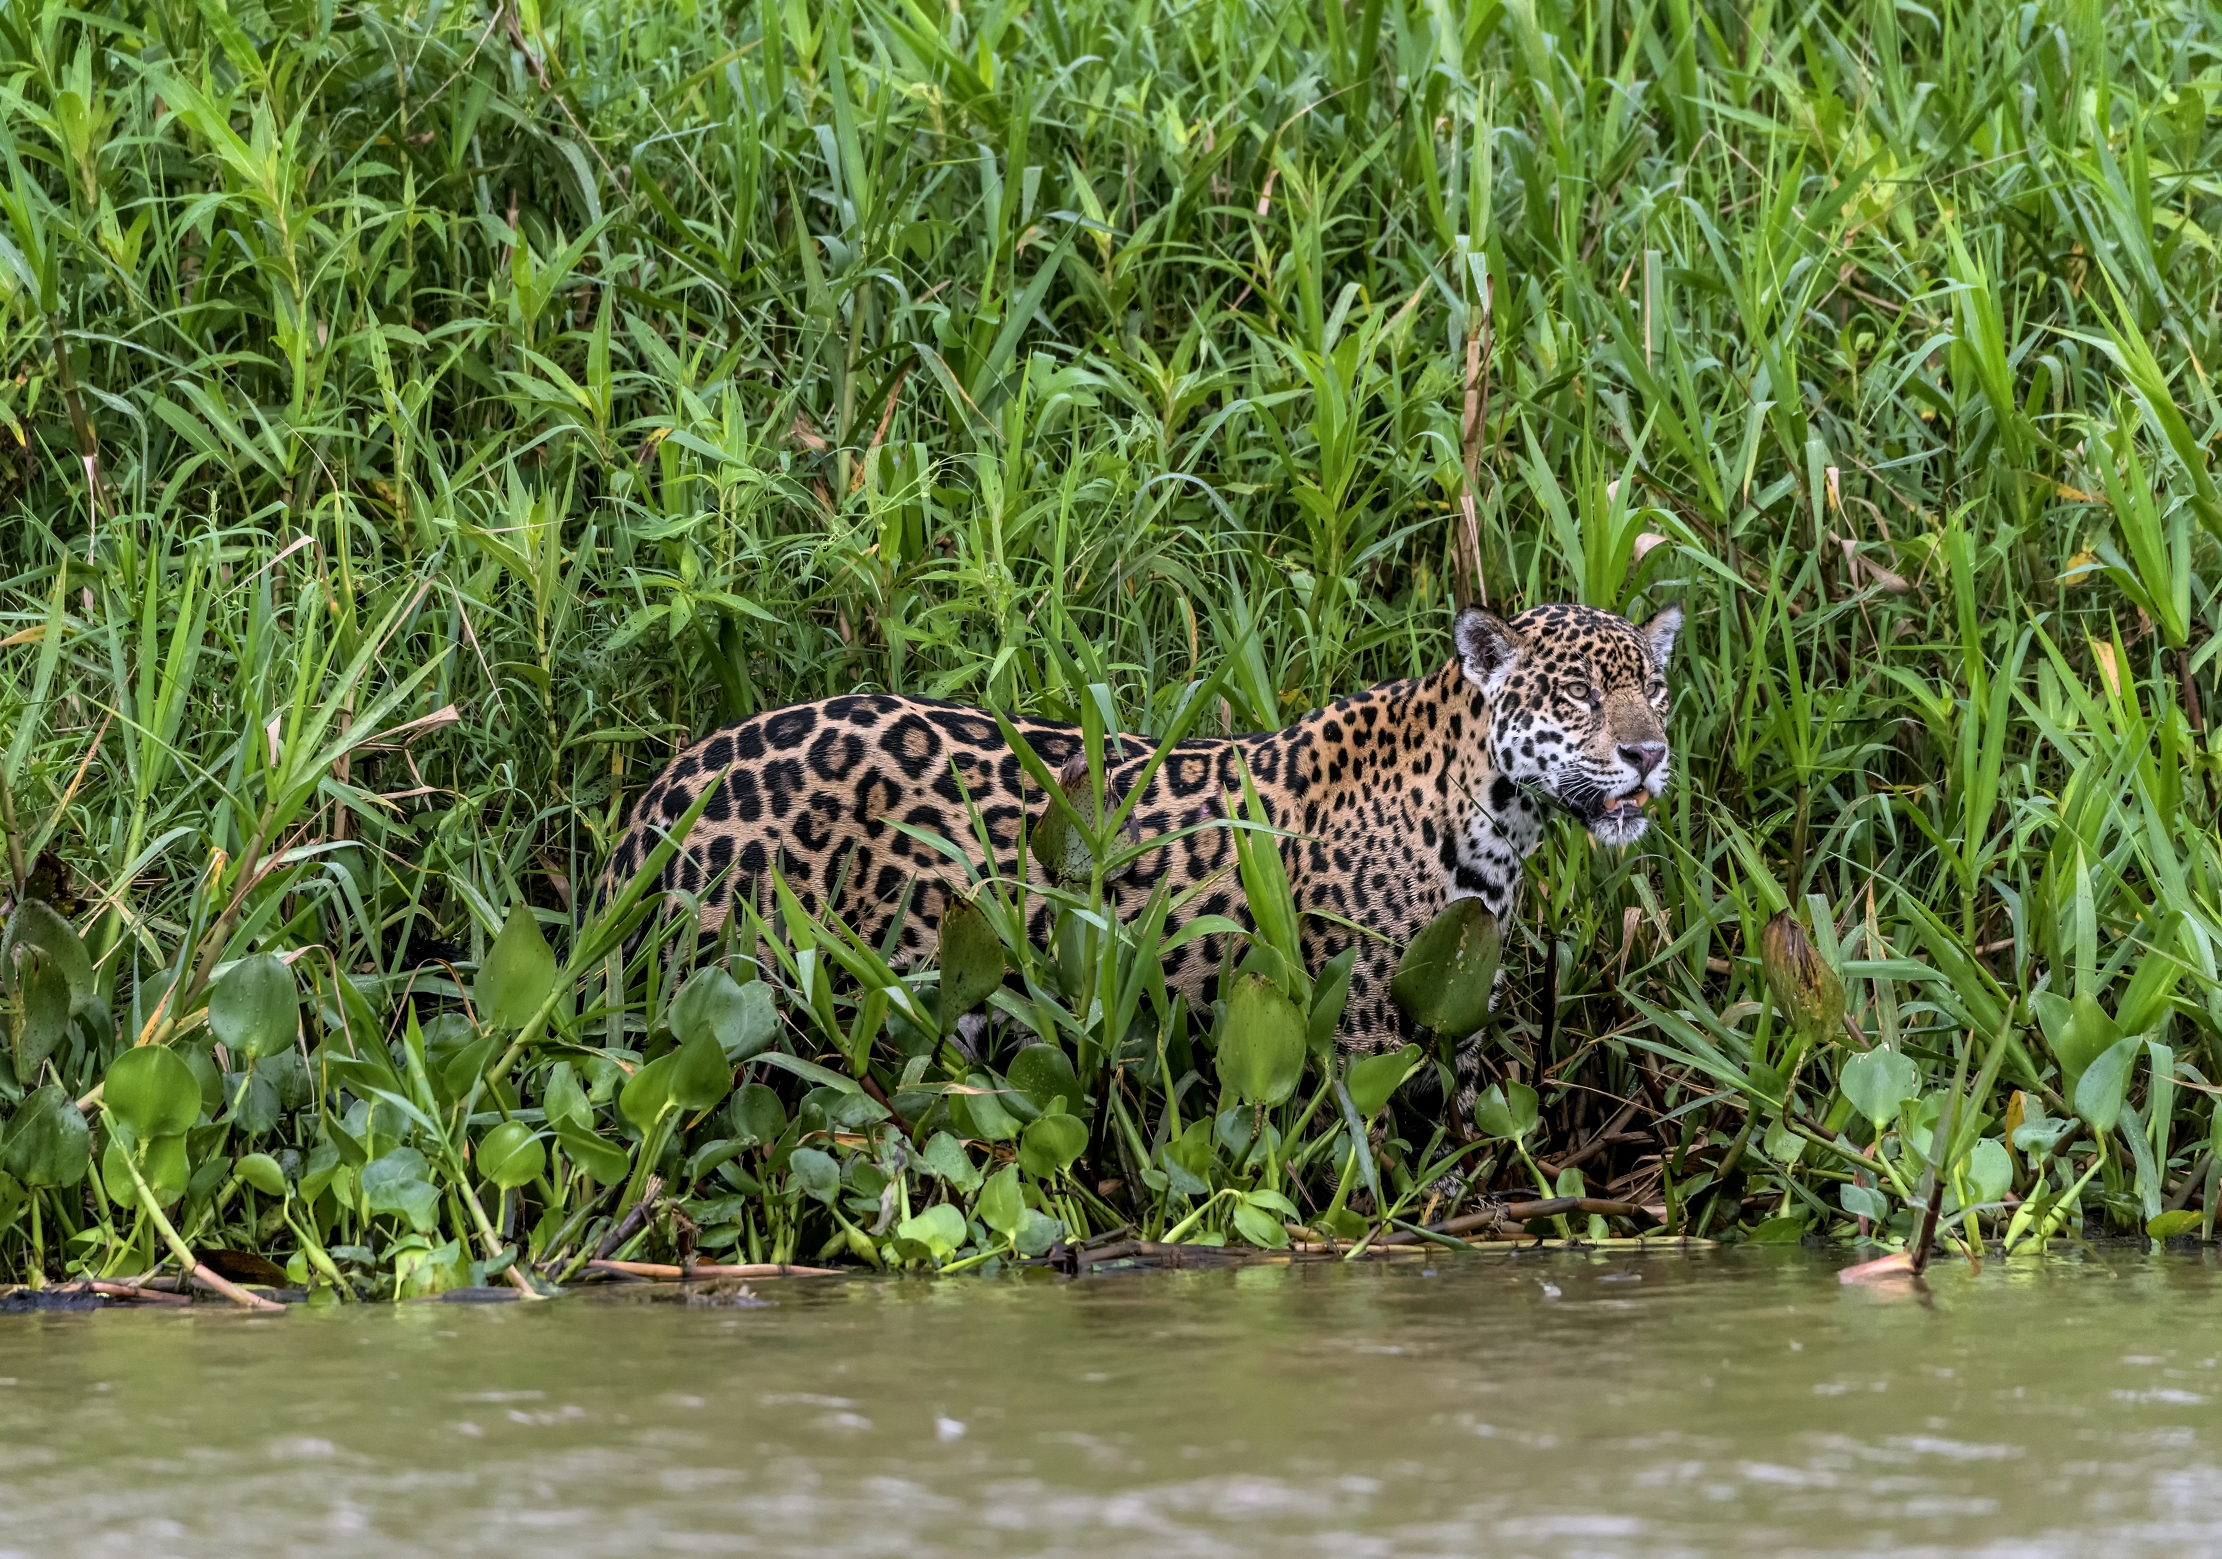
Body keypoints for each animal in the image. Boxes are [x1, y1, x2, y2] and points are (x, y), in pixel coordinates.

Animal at [604, 601, 1681, 1122]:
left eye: (1656, 689)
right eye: (1579, 694)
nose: (1648, 753)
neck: (1498, 820)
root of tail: (663, 791)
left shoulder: (1454, 1023)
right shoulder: (1359, 1033)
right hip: (745, 1000)